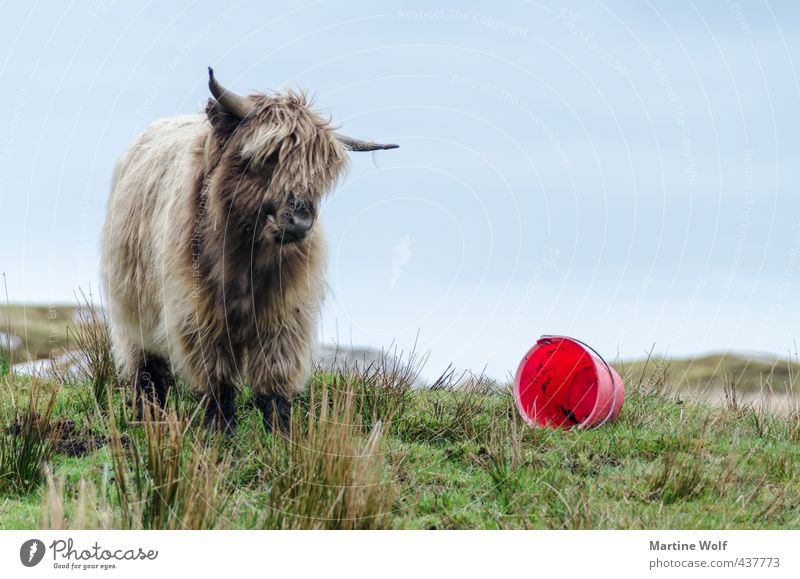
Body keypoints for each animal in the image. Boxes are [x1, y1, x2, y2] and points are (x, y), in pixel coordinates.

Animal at [101, 68, 398, 432]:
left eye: (319, 172)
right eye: (266, 158)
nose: (300, 221)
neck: (246, 257)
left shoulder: (286, 313)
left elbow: (275, 373)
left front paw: (280, 430)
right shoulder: (197, 310)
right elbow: (216, 375)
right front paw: (219, 428)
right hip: (133, 309)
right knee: (147, 367)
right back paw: (148, 413)